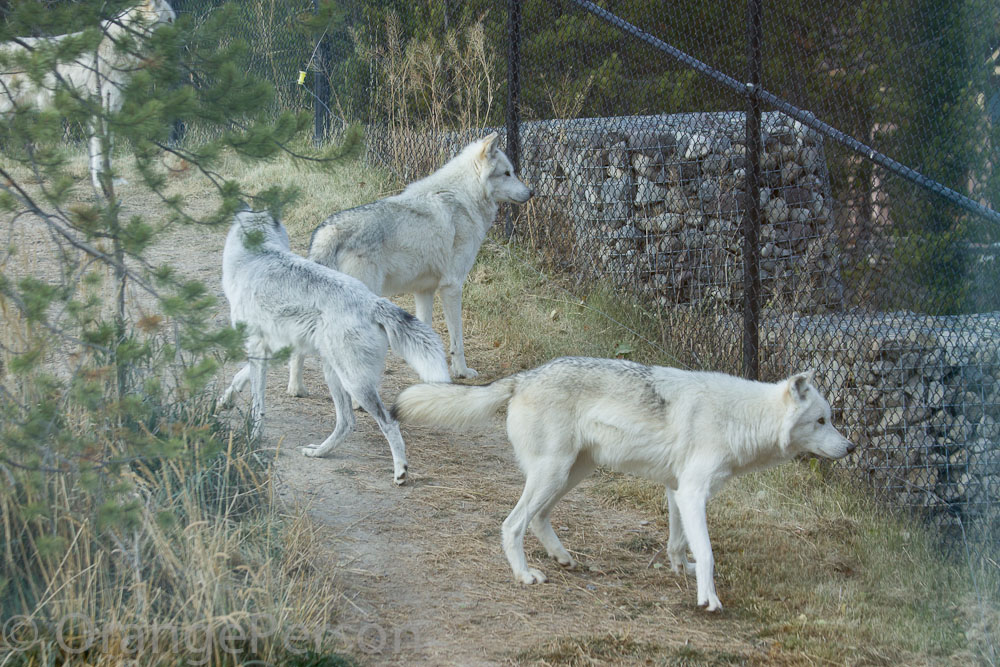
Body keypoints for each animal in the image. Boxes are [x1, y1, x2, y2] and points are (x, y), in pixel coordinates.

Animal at [0, 0, 176, 190]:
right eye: (170, 20)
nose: (180, 38)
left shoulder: (106, 112)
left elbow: (103, 151)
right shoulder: (101, 111)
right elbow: (102, 151)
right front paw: (102, 183)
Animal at [219, 210, 451, 486]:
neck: (258, 254)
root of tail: (373, 302)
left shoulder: (257, 348)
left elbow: (257, 405)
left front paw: (253, 436)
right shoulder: (272, 349)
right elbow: (239, 377)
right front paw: (224, 400)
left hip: (351, 382)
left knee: (388, 423)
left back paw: (400, 472)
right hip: (334, 374)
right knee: (347, 423)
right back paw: (319, 452)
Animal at [286, 132, 532, 397]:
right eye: (507, 173)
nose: (531, 192)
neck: (465, 197)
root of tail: (327, 231)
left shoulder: (424, 290)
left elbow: (426, 331)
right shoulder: (452, 287)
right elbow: (457, 339)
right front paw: (462, 372)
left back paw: (296, 388)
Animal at [392, 356, 855, 610]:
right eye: (821, 421)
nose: (851, 447)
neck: (741, 418)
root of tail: (523, 377)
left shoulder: (677, 491)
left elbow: (677, 543)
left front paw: (680, 571)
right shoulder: (693, 493)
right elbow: (707, 554)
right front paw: (709, 598)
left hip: (572, 474)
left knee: (538, 519)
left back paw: (563, 558)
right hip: (555, 474)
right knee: (512, 525)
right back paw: (525, 575)